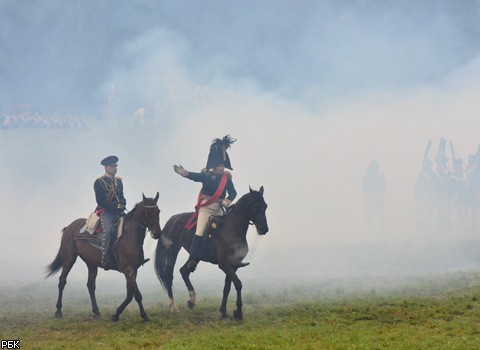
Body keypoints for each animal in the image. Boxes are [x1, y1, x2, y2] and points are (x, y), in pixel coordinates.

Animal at [45, 193, 161, 322]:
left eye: (158, 211)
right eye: (147, 212)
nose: (157, 233)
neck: (129, 236)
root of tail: (70, 227)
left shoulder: (133, 270)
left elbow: (130, 293)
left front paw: (117, 314)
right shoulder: (128, 269)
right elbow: (136, 294)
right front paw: (142, 315)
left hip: (91, 264)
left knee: (90, 285)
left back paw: (96, 312)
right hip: (69, 259)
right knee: (62, 281)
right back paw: (58, 311)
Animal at [154, 187, 268, 322]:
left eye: (265, 206)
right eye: (255, 206)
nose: (264, 229)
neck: (232, 229)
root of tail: (172, 219)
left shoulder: (233, 266)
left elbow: (227, 287)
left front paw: (224, 312)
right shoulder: (224, 264)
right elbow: (238, 284)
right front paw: (238, 312)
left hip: (196, 256)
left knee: (184, 271)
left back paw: (191, 301)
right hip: (173, 251)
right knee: (168, 276)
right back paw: (173, 307)